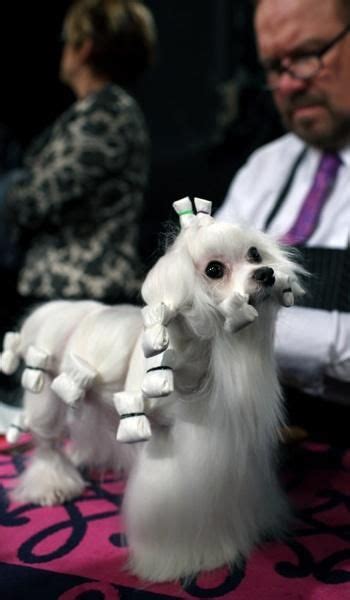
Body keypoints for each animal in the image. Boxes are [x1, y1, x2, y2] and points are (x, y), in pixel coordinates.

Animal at [1, 198, 304, 580]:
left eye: (254, 253)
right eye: (214, 269)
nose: (266, 274)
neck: (201, 362)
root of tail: (52, 310)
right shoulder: (166, 441)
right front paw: (178, 558)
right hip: (45, 393)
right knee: (47, 445)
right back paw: (52, 486)